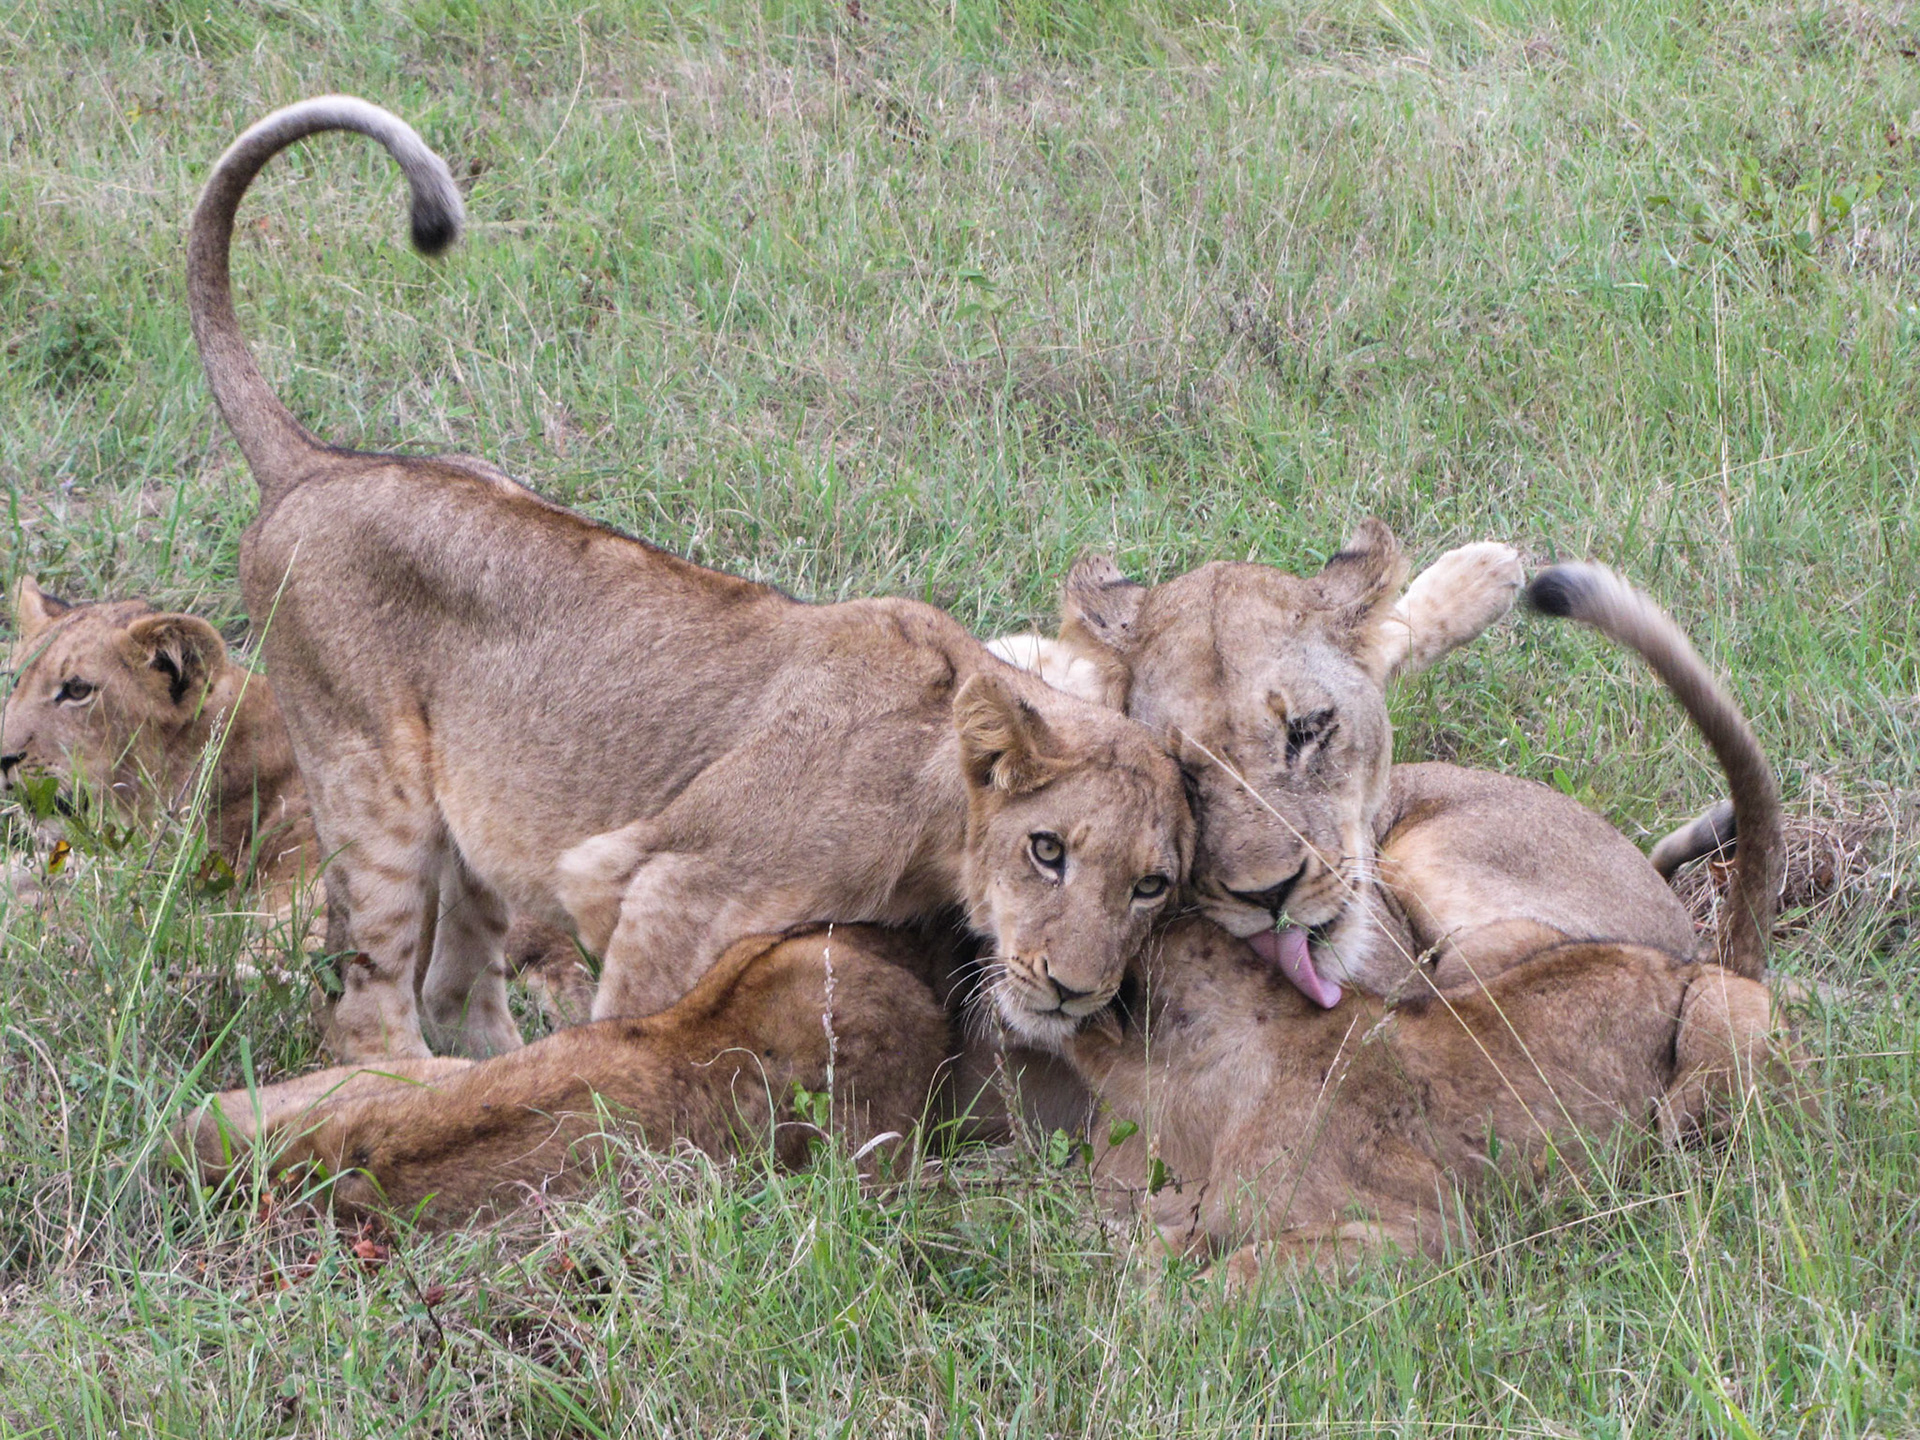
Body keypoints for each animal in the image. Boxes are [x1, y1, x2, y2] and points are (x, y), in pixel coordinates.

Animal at [2, 576, 598, 1034]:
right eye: (17, 679)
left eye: (78, 690)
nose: (2, 756)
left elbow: (89, 903)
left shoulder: (170, 877)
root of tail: (560, 944)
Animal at [187, 96, 1192, 1064]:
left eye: (1150, 885)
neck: (936, 803)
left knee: (451, 985)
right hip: (371, 790)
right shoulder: (667, 885)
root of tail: (312, 466)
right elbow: (632, 1033)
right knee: (368, 1010)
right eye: (1047, 850)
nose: (1074, 990)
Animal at [1054, 563, 1794, 1274]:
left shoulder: (1424, 1229)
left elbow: (1238, 1273)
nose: (1270, 893)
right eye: (1183, 774)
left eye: (1307, 732)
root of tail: (1702, 955)